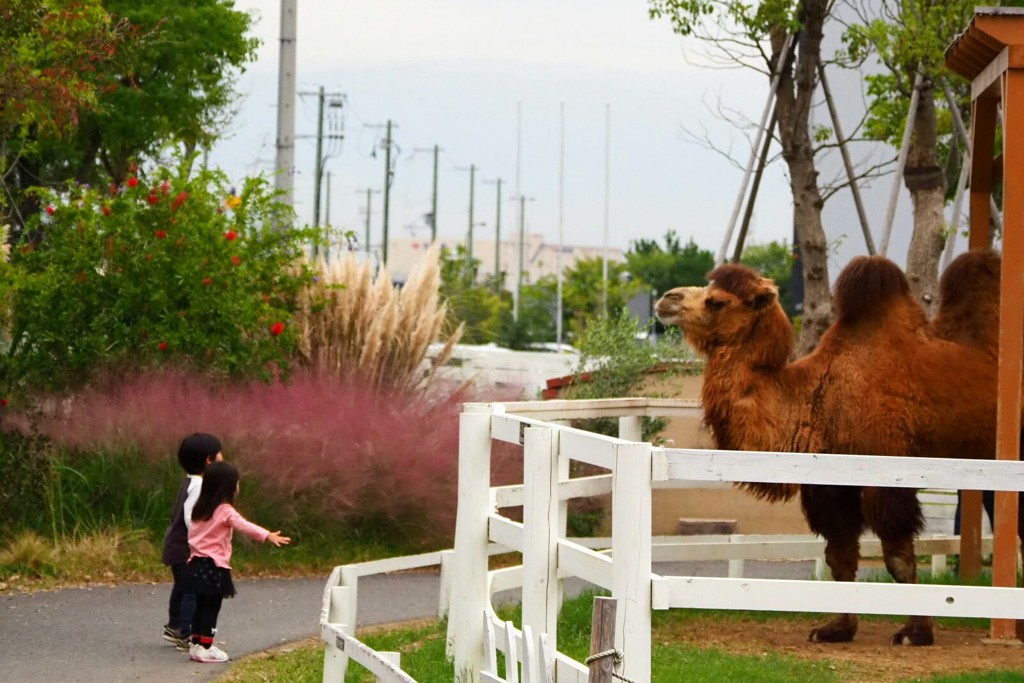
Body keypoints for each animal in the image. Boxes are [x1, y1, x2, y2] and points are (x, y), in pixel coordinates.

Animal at [651, 250, 1019, 647]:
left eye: (717, 301)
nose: (666, 299)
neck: (815, 399)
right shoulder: (828, 485)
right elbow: (839, 556)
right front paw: (836, 628)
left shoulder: (885, 475)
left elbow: (898, 556)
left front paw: (915, 632)